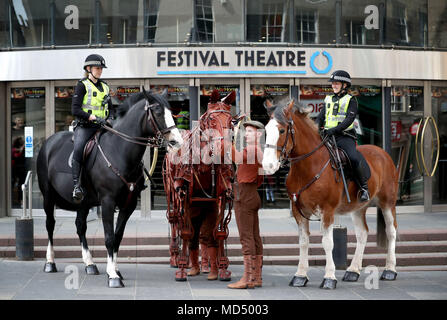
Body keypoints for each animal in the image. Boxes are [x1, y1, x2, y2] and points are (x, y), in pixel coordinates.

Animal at [36, 89, 184, 288]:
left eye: (171, 112)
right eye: (159, 113)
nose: (177, 141)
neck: (120, 151)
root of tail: (49, 142)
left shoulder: (128, 205)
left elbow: (118, 236)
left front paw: (114, 270)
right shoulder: (107, 202)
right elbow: (109, 237)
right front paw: (113, 275)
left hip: (83, 202)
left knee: (80, 226)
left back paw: (90, 264)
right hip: (48, 196)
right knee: (50, 224)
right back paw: (50, 262)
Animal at [164, 90, 238, 280]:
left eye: (231, 121)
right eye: (211, 120)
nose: (224, 149)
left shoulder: (221, 197)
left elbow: (218, 232)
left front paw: (222, 268)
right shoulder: (184, 195)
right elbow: (186, 232)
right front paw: (182, 269)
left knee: (200, 233)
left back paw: (200, 266)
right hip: (172, 195)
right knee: (175, 221)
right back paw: (176, 258)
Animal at [262, 99, 400, 288]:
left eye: (282, 130)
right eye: (266, 129)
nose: (268, 165)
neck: (307, 168)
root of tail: (382, 152)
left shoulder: (327, 210)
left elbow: (327, 243)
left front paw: (329, 277)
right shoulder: (298, 211)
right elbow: (303, 242)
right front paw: (300, 275)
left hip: (388, 203)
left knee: (391, 231)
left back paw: (390, 270)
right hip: (358, 207)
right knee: (362, 233)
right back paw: (353, 270)